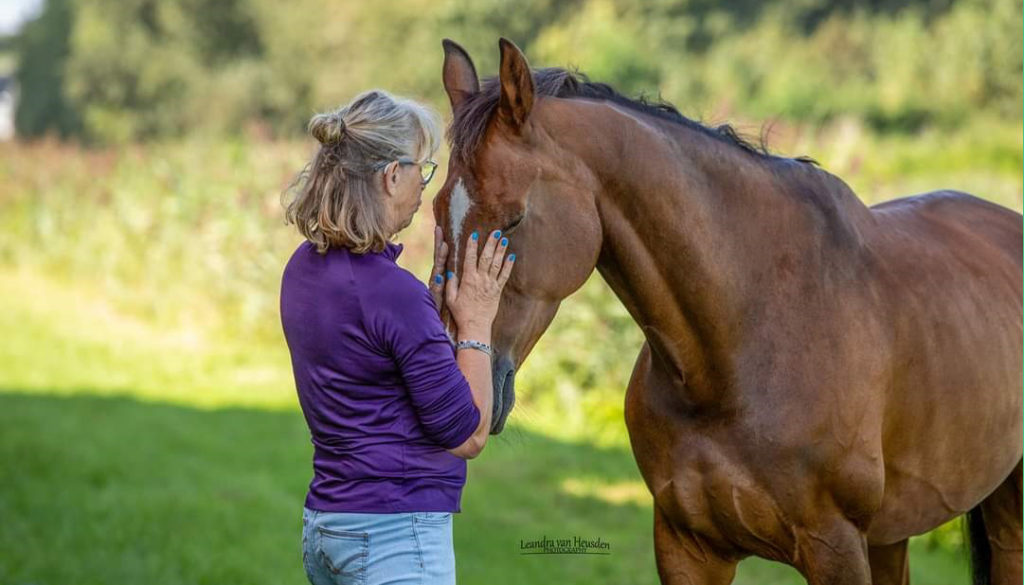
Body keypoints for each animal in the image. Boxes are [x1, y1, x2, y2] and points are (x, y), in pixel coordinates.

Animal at [432, 38, 1024, 581]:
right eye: (438, 211)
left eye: (513, 219)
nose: (462, 384)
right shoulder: (686, 545)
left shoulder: (835, 547)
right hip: (891, 535)